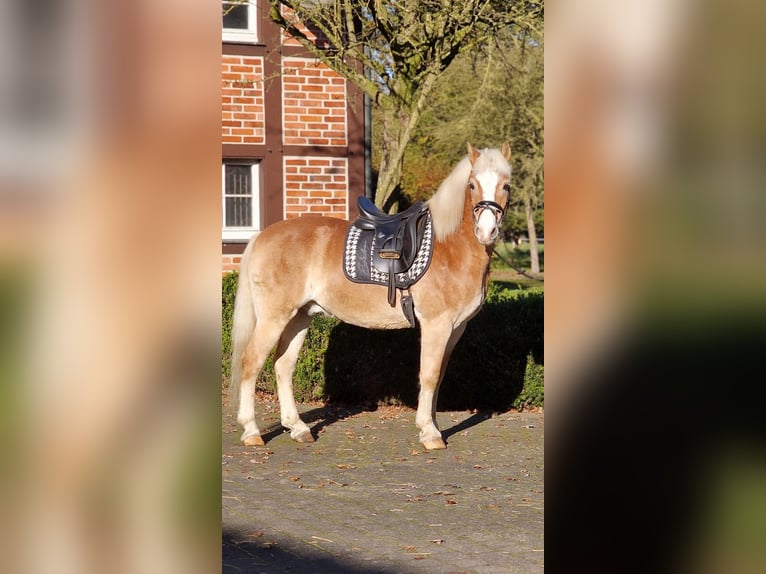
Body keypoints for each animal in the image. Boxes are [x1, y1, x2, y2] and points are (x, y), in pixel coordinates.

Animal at [231, 143, 512, 450]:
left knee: (283, 366)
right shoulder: (436, 324)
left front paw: (434, 426)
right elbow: (429, 375)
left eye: (506, 185)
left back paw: (298, 428)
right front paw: (429, 433)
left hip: (299, 317)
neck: (449, 247)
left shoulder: (456, 328)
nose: (486, 231)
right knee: (251, 362)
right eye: (472, 185)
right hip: (273, 318)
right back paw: (251, 431)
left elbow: (438, 378)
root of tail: (261, 236)